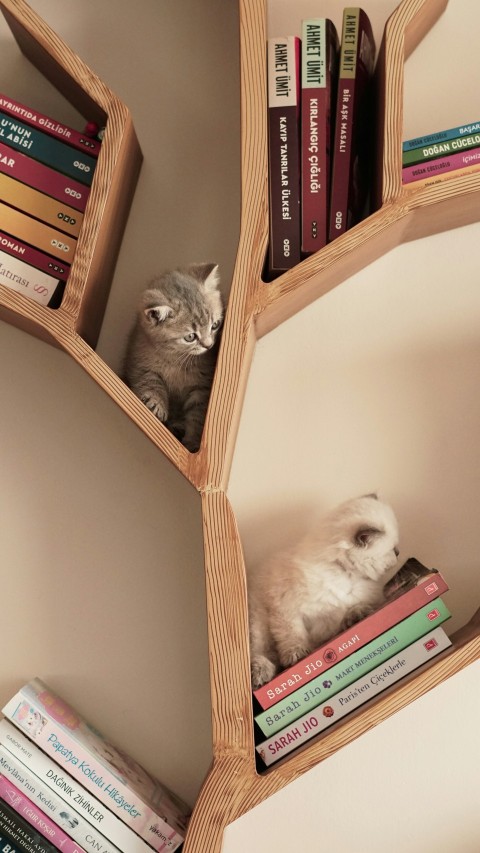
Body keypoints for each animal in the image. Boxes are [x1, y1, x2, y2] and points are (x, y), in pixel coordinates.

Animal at [123, 262, 222, 452]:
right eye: (190, 337)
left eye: (215, 325)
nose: (208, 345)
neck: (175, 358)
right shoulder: (139, 359)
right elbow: (150, 381)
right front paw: (156, 403)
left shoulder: (202, 387)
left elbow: (197, 416)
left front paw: (192, 442)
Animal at [249, 496, 400, 688]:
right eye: (393, 550)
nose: (399, 553)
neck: (342, 573)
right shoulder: (286, 609)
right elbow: (293, 634)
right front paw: (296, 655)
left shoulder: (331, 623)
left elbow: (349, 611)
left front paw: (356, 616)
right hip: (258, 622)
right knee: (261, 652)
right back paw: (260, 673)